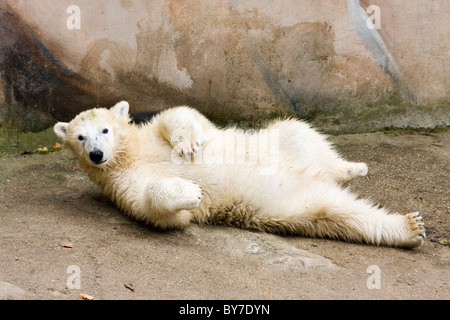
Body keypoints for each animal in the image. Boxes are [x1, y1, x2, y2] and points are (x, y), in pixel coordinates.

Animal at [53, 101, 426, 249]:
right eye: (80, 137)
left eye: (104, 129)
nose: (97, 154)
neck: (130, 154)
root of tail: (316, 174)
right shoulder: (121, 182)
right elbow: (154, 209)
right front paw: (191, 192)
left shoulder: (151, 135)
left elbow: (183, 116)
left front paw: (187, 145)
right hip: (288, 199)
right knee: (335, 212)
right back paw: (409, 228)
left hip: (279, 143)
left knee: (300, 133)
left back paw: (352, 168)